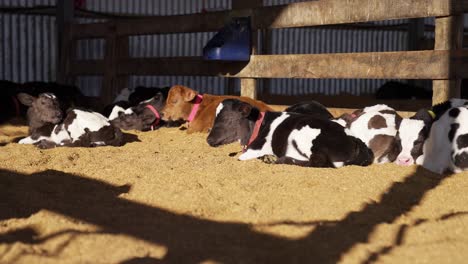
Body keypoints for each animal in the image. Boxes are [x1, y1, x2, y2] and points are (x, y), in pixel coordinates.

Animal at [206, 99, 372, 167]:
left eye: (227, 118)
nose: (208, 139)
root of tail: (353, 139)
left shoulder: (255, 149)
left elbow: (240, 158)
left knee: (318, 161)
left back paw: (281, 160)